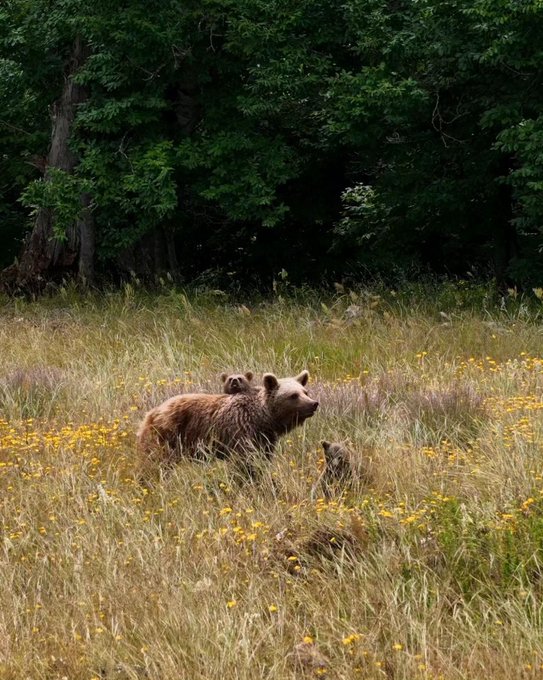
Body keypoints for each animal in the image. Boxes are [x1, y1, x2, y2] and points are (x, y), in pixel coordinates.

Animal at [136, 370, 318, 464]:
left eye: (305, 392)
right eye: (293, 395)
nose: (314, 403)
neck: (264, 420)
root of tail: (152, 411)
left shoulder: (264, 439)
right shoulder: (241, 430)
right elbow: (246, 462)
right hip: (167, 434)